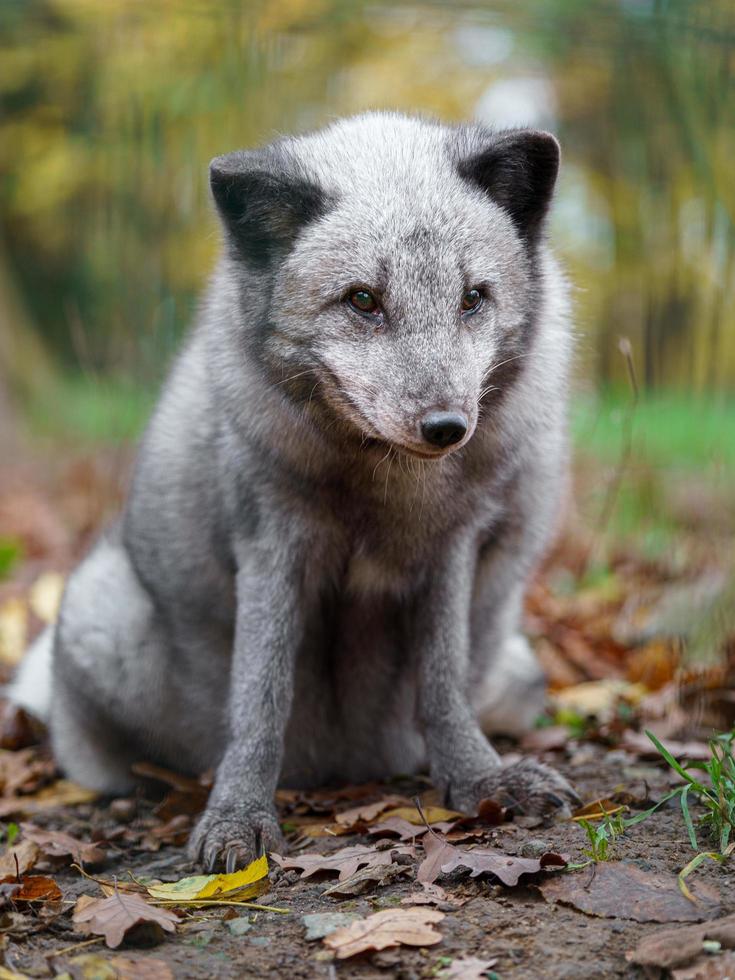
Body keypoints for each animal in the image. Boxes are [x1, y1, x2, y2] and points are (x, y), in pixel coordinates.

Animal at [7, 111, 580, 868]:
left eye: (472, 299)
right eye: (363, 300)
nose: (445, 427)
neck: (385, 488)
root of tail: (346, 767)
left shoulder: (452, 546)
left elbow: (443, 683)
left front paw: (479, 780)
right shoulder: (272, 542)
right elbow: (260, 695)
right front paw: (238, 815)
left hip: (520, 670)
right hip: (100, 613)